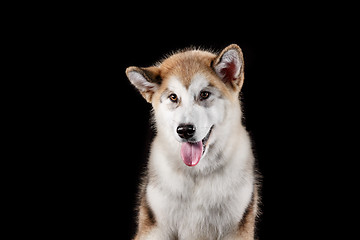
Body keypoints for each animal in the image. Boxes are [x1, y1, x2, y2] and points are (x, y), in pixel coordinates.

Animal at [126, 44, 258, 239]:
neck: (197, 174)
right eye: (173, 97)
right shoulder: (155, 228)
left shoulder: (236, 230)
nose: (185, 130)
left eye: (204, 94)